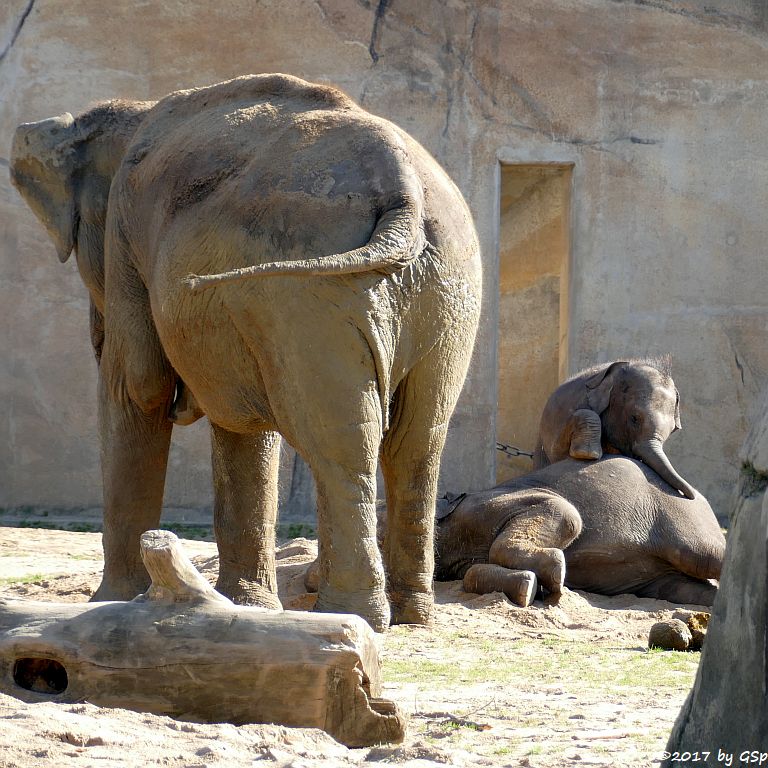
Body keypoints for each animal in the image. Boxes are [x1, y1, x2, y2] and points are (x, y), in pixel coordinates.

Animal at [12, 75, 480, 632]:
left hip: (309, 295)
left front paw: (110, 602)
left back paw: (352, 613)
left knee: (340, 441)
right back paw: (411, 616)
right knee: (417, 441)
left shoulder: (127, 233)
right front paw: (247, 606)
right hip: (446, 291)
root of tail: (401, 189)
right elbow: (244, 427)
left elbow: (138, 388)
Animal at [438, 456, 728, 608]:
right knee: (683, 589)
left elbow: (566, 513)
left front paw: (555, 576)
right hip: (665, 578)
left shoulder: (488, 502)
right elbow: (471, 574)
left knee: (704, 554)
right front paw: (529, 587)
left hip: (684, 516)